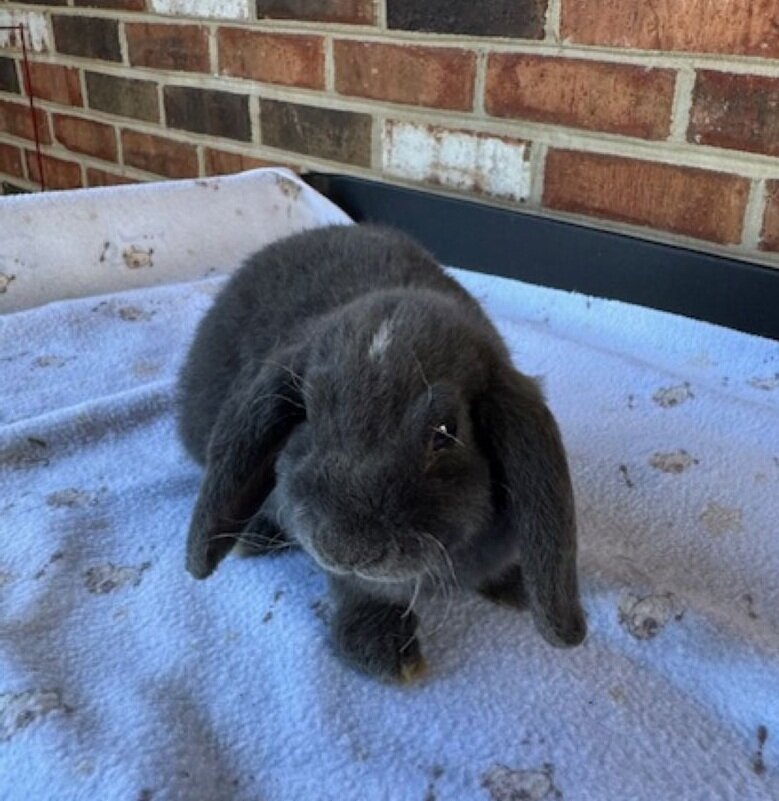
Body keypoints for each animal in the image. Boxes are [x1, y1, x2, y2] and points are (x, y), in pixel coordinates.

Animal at [177, 223, 586, 682]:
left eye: (446, 431)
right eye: (308, 412)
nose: (343, 547)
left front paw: (516, 584)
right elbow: (365, 590)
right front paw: (384, 652)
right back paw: (257, 538)